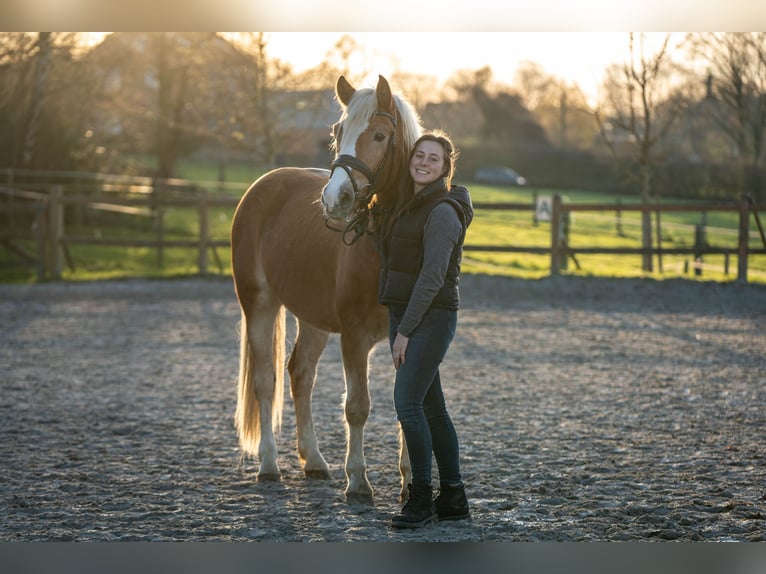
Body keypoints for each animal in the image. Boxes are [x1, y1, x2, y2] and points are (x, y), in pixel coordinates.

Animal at [230, 75, 423, 504]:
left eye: (380, 135)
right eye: (338, 131)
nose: (336, 199)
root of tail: (262, 186)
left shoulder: (411, 335)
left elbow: (408, 401)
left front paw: (410, 483)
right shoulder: (353, 336)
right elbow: (357, 406)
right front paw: (359, 482)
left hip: (312, 318)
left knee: (300, 374)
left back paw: (315, 461)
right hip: (260, 304)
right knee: (265, 381)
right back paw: (269, 465)